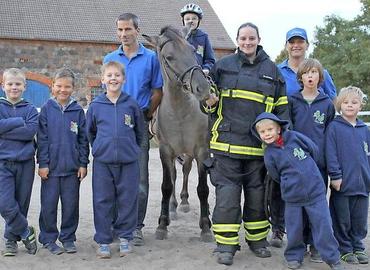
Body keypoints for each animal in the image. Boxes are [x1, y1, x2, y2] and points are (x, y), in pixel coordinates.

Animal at [143, 25, 212, 242]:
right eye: (169, 57)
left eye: (192, 50)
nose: (203, 87)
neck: (180, 111)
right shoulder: (165, 151)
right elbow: (166, 185)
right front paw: (162, 224)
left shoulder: (201, 151)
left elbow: (203, 189)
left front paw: (206, 227)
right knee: (174, 175)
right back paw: (173, 206)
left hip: (189, 153)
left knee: (186, 171)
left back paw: (185, 202)